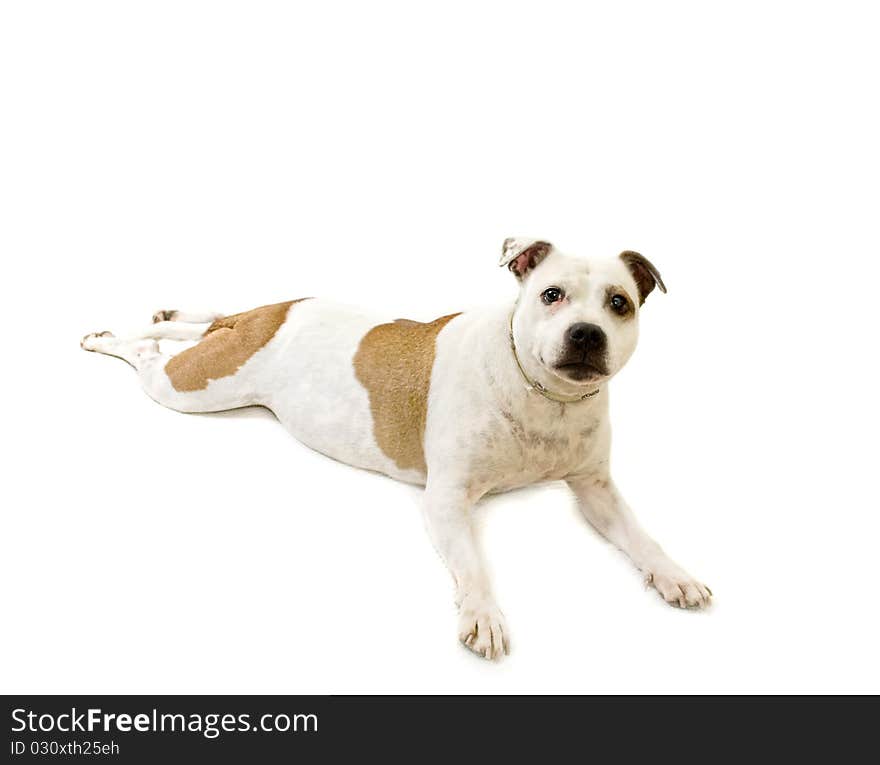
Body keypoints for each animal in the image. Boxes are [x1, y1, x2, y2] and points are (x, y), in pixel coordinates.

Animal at [82, 240, 712, 664]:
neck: (544, 398)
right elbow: (474, 564)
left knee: (198, 324)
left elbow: (641, 536)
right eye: (551, 296)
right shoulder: (447, 500)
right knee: (148, 355)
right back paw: (108, 339)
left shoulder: (595, 489)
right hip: (194, 386)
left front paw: (675, 575)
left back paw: (166, 318)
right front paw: (483, 615)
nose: (586, 333)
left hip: (227, 340)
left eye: (619, 303)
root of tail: (258, 319)